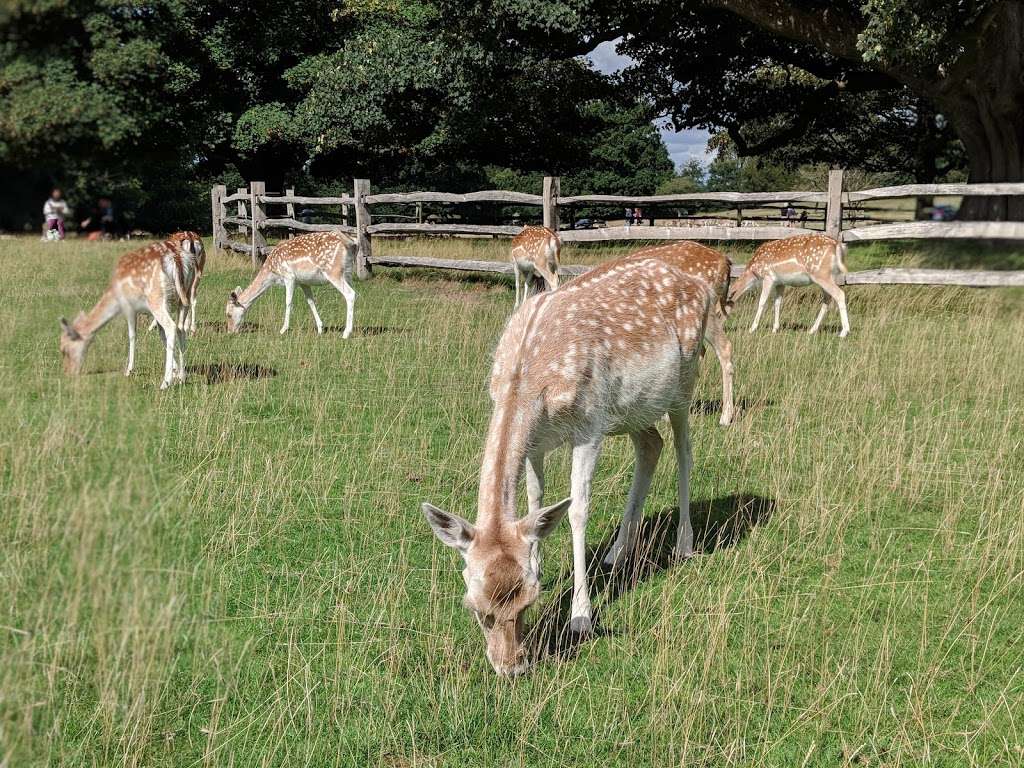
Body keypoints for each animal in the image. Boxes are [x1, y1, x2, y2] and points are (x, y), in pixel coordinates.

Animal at [58, 233, 201, 391]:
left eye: (64, 349)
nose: (67, 372)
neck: (114, 297)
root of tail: (177, 258)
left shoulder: (129, 306)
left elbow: (132, 335)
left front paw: (129, 370)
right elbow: (161, 335)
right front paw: (176, 371)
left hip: (157, 299)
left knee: (171, 327)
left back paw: (165, 382)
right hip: (184, 296)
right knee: (181, 328)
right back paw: (182, 377)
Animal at [224, 228, 356, 335]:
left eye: (229, 314)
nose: (230, 332)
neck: (272, 272)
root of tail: (351, 242)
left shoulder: (289, 276)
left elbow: (288, 302)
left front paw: (283, 329)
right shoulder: (303, 282)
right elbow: (310, 301)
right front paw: (320, 329)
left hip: (333, 271)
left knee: (350, 294)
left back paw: (346, 333)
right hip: (348, 272)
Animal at [419, 250, 716, 671]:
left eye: (529, 602)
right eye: (475, 608)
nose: (512, 666)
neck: (526, 376)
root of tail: (701, 286)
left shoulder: (589, 426)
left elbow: (577, 510)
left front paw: (581, 615)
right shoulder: (537, 441)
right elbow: (534, 501)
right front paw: (540, 561)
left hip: (684, 382)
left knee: (684, 451)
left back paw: (685, 544)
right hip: (632, 411)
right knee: (651, 445)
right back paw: (616, 552)